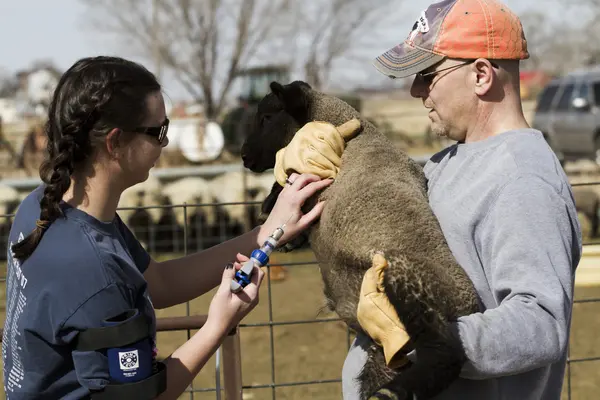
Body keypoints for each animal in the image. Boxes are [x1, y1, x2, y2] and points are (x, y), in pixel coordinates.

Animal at [239, 81, 478, 400]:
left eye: (267, 117)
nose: (244, 156)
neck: (347, 130)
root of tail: (470, 305)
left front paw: (271, 205)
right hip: (387, 351)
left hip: (404, 278)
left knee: (446, 352)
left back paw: (393, 393)